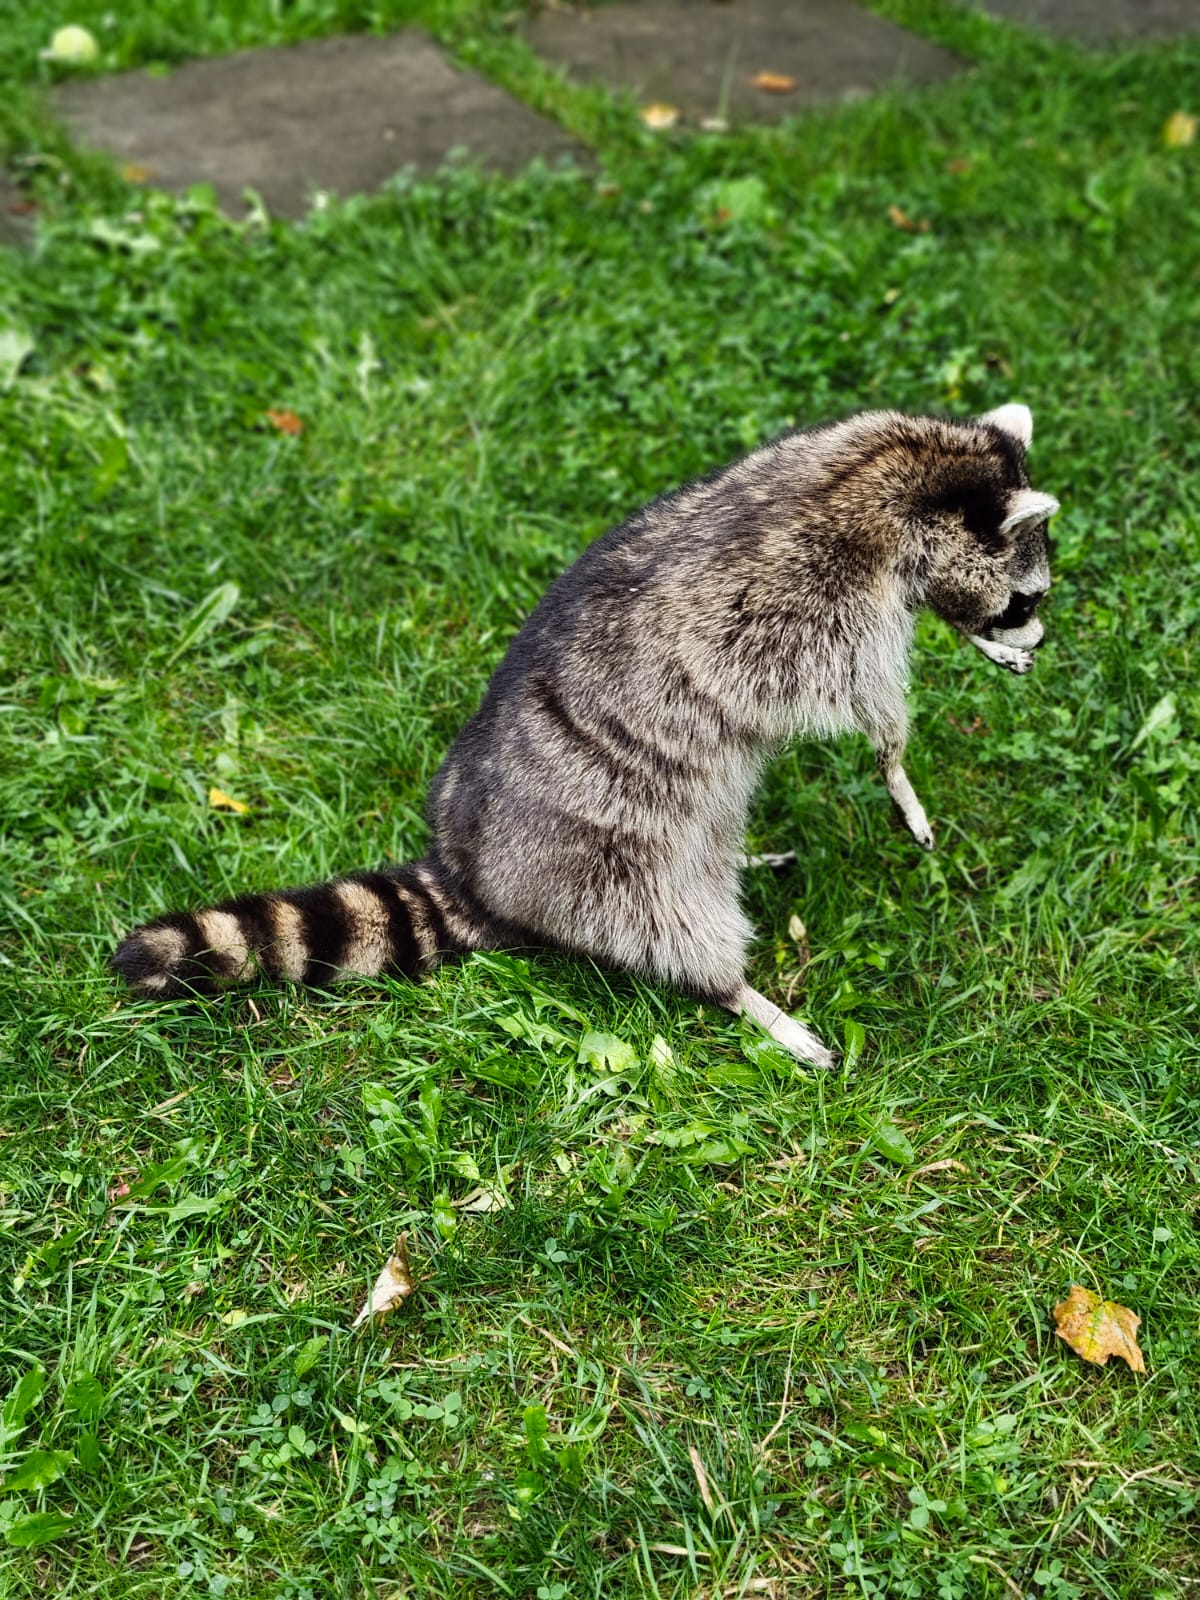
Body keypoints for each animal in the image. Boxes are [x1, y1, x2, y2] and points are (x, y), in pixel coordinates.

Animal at [112, 403, 1058, 1068]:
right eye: (1029, 597)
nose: (1040, 638)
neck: (904, 466)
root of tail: (468, 870)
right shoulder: (814, 605)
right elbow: (861, 700)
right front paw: (898, 764)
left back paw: (737, 860)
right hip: (605, 858)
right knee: (675, 928)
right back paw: (742, 994)